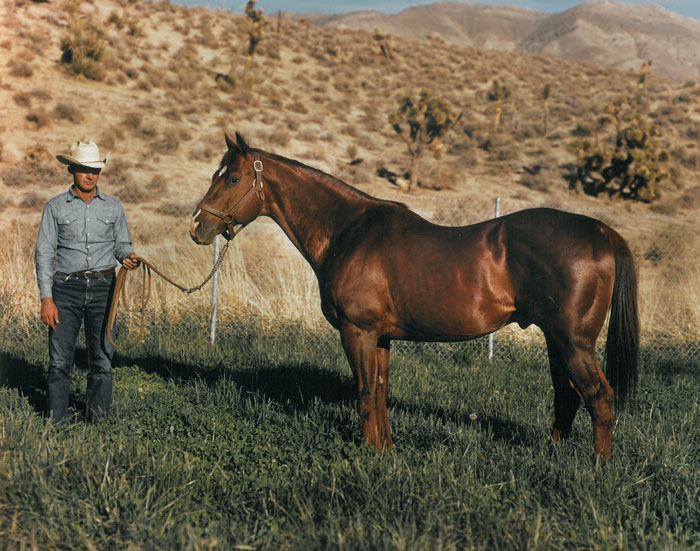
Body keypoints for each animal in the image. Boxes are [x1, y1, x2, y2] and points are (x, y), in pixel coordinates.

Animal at [190, 132, 639, 459]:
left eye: (232, 178)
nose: (197, 227)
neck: (347, 231)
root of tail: (601, 232)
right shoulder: (381, 337)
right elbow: (380, 391)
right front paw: (386, 448)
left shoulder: (357, 331)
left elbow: (364, 392)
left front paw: (370, 451)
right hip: (557, 340)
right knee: (567, 396)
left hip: (573, 341)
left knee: (599, 397)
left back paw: (599, 467)